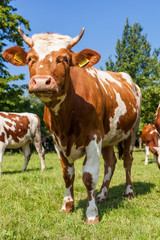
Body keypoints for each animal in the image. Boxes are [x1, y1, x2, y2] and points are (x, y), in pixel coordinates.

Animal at [2, 27, 141, 224]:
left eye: (65, 59)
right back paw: (102, 194)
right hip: (108, 137)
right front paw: (67, 205)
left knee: (127, 161)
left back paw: (128, 192)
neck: (65, 120)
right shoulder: (57, 141)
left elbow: (89, 176)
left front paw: (91, 214)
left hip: (132, 131)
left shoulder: (93, 138)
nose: (41, 81)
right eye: (30, 58)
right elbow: (68, 175)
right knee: (110, 163)